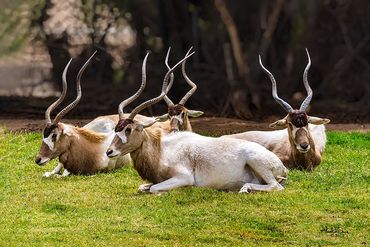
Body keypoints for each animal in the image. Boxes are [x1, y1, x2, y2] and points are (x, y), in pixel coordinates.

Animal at [105, 50, 288, 193]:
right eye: (116, 129)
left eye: (128, 129)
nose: (109, 152)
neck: (162, 149)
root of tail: (282, 166)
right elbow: (143, 187)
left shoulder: (183, 177)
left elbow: (154, 189)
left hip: (256, 162)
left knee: (276, 186)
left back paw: (245, 188)